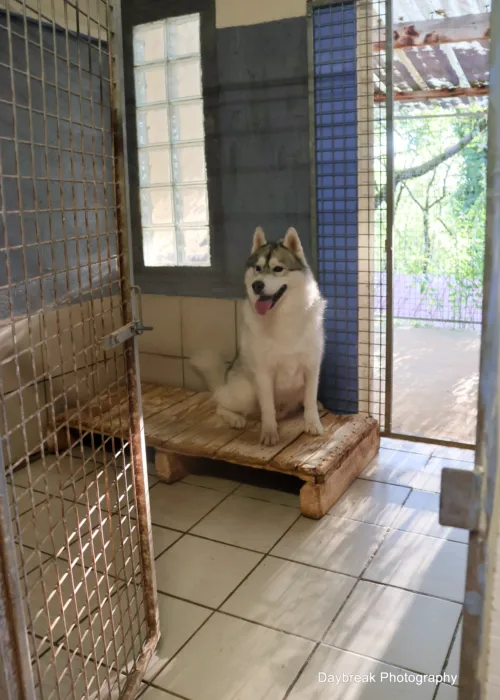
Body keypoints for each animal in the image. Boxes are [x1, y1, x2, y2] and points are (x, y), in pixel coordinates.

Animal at [189, 226, 326, 442]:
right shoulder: (263, 373)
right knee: (219, 403)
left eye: (278, 269)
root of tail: (225, 381)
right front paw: (269, 432)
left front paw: (313, 424)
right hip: (246, 393)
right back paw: (235, 418)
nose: (257, 285)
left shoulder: (311, 368)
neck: (282, 317)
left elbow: (310, 401)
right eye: (258, 268)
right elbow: (268, 408)